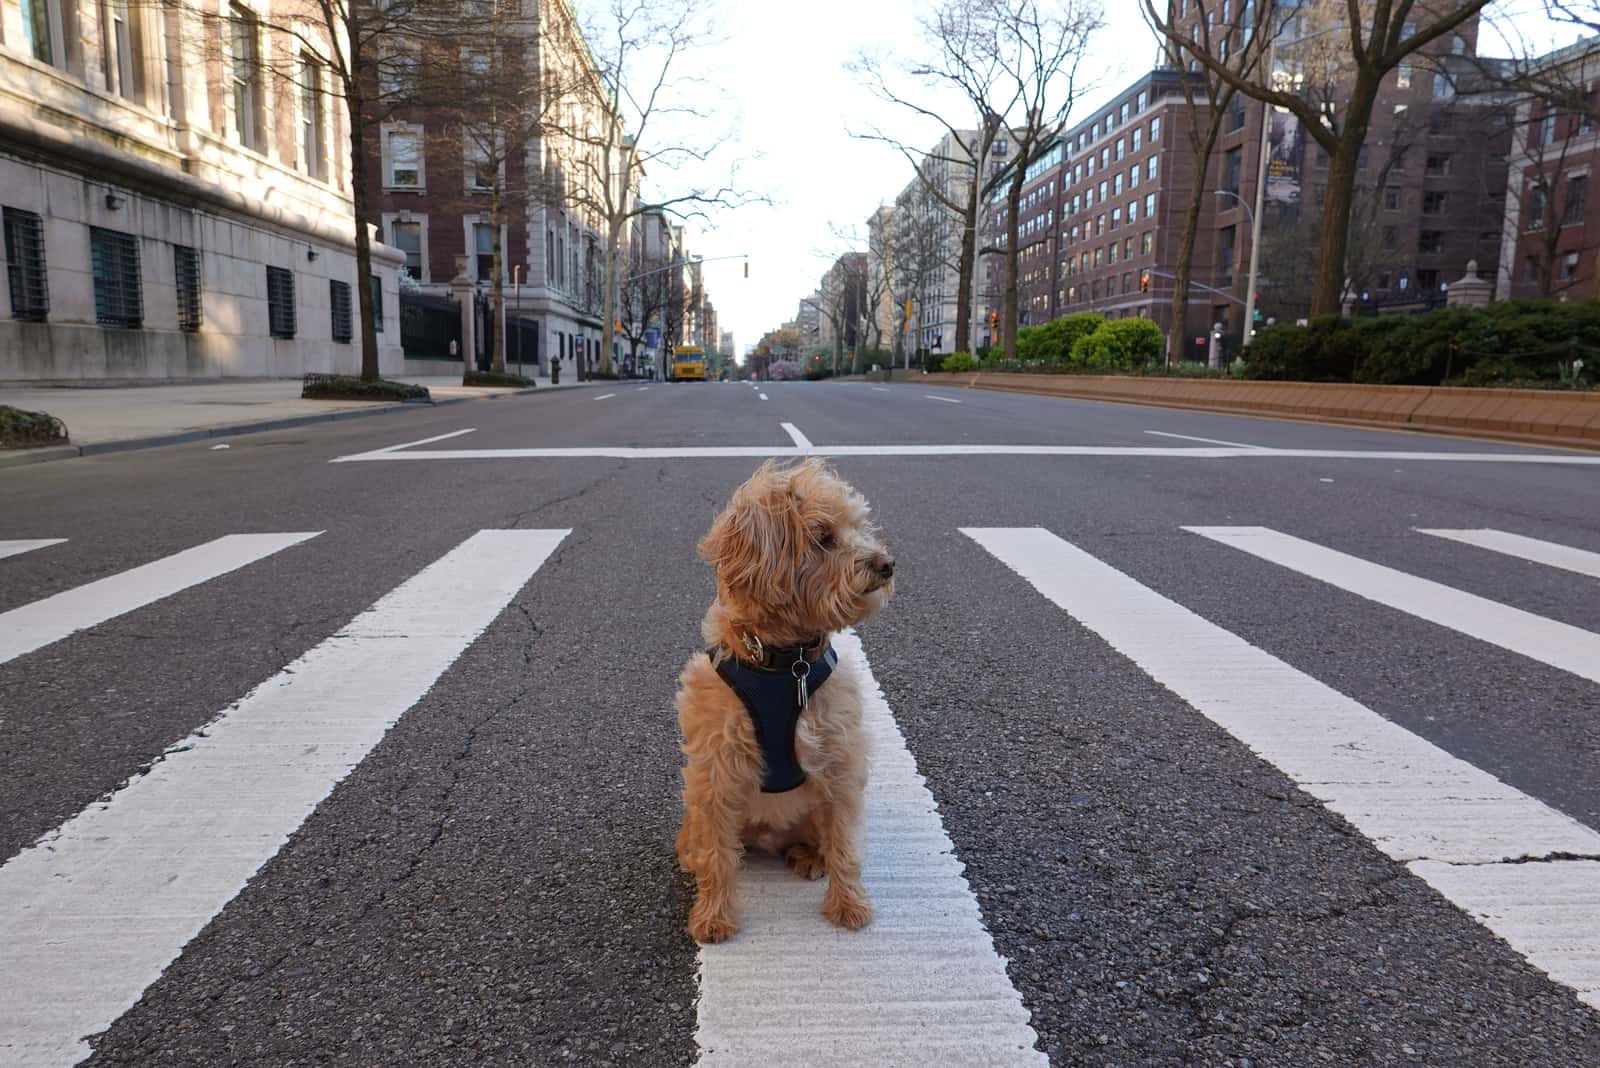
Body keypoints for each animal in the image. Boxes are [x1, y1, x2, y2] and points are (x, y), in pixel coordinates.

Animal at [675, 460, 896, 940]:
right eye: (824, 536)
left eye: (859, 527)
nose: (887, 564)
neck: (783, 662)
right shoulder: (716, 770)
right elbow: (717, 854)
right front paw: (714, 916)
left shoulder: (841, 759)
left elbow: (846, 845)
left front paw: (849, 906)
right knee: (707, 840)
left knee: (823, 838)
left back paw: (809, 857)